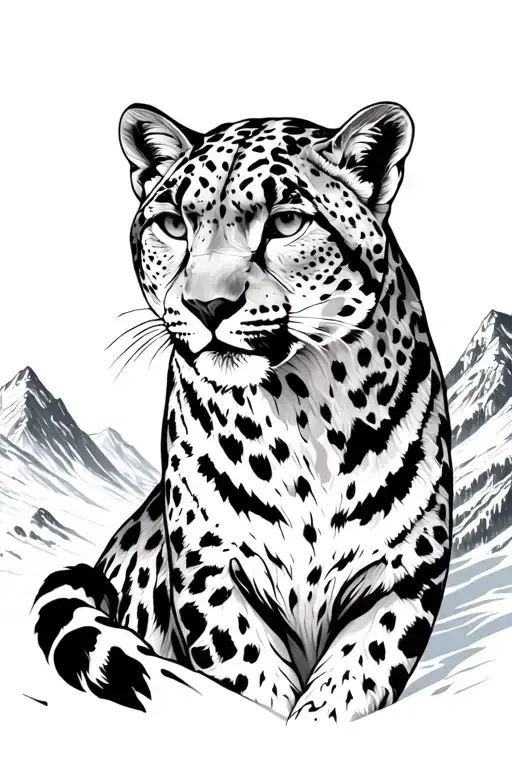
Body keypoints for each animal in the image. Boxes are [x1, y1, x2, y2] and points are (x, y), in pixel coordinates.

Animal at [32, 101, 453, 725]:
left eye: (286, 223)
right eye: (174, 225)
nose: (207, 304)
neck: (303, 410)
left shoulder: (403, 579)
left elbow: (345, 689)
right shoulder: (212, 573)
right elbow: (248, 677)